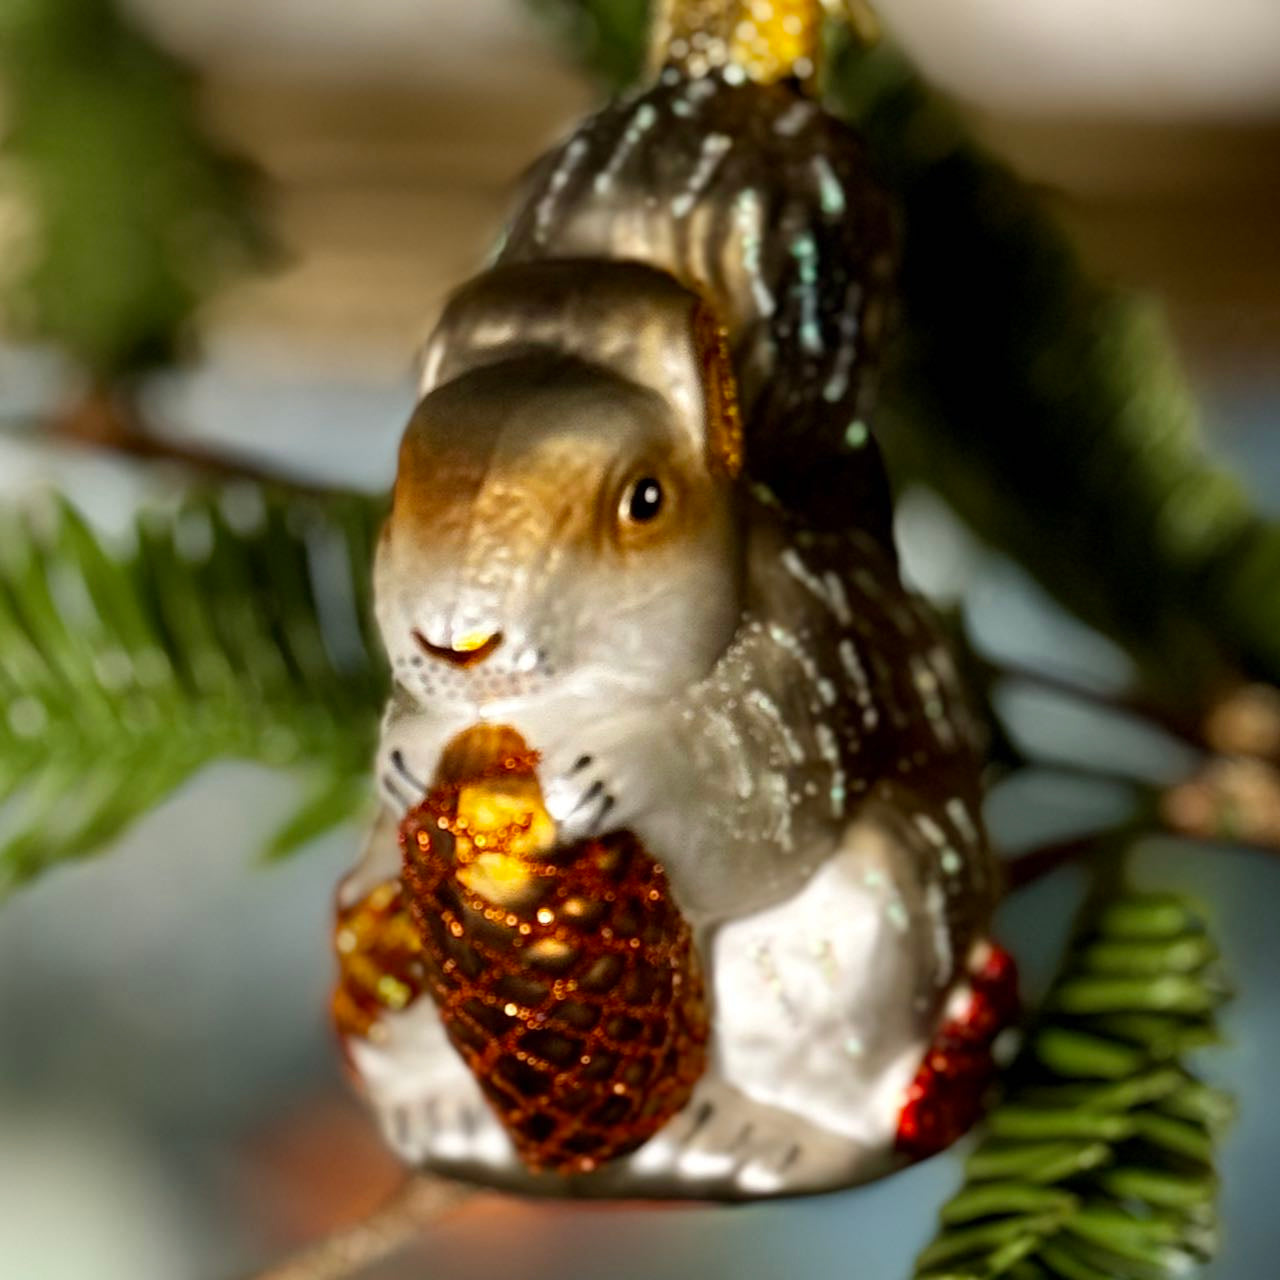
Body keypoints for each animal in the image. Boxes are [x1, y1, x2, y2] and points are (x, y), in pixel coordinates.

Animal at [335, 0, 1006, 1200]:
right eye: (402, 480)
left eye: (644, 500)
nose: (456, 637)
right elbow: (403, 750)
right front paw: (403, 744)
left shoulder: (808, 670)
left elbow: (752, 800)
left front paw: (622, 767)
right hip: (379, 919)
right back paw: (443, 1115)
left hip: (869, 919)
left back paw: (766, 1134)